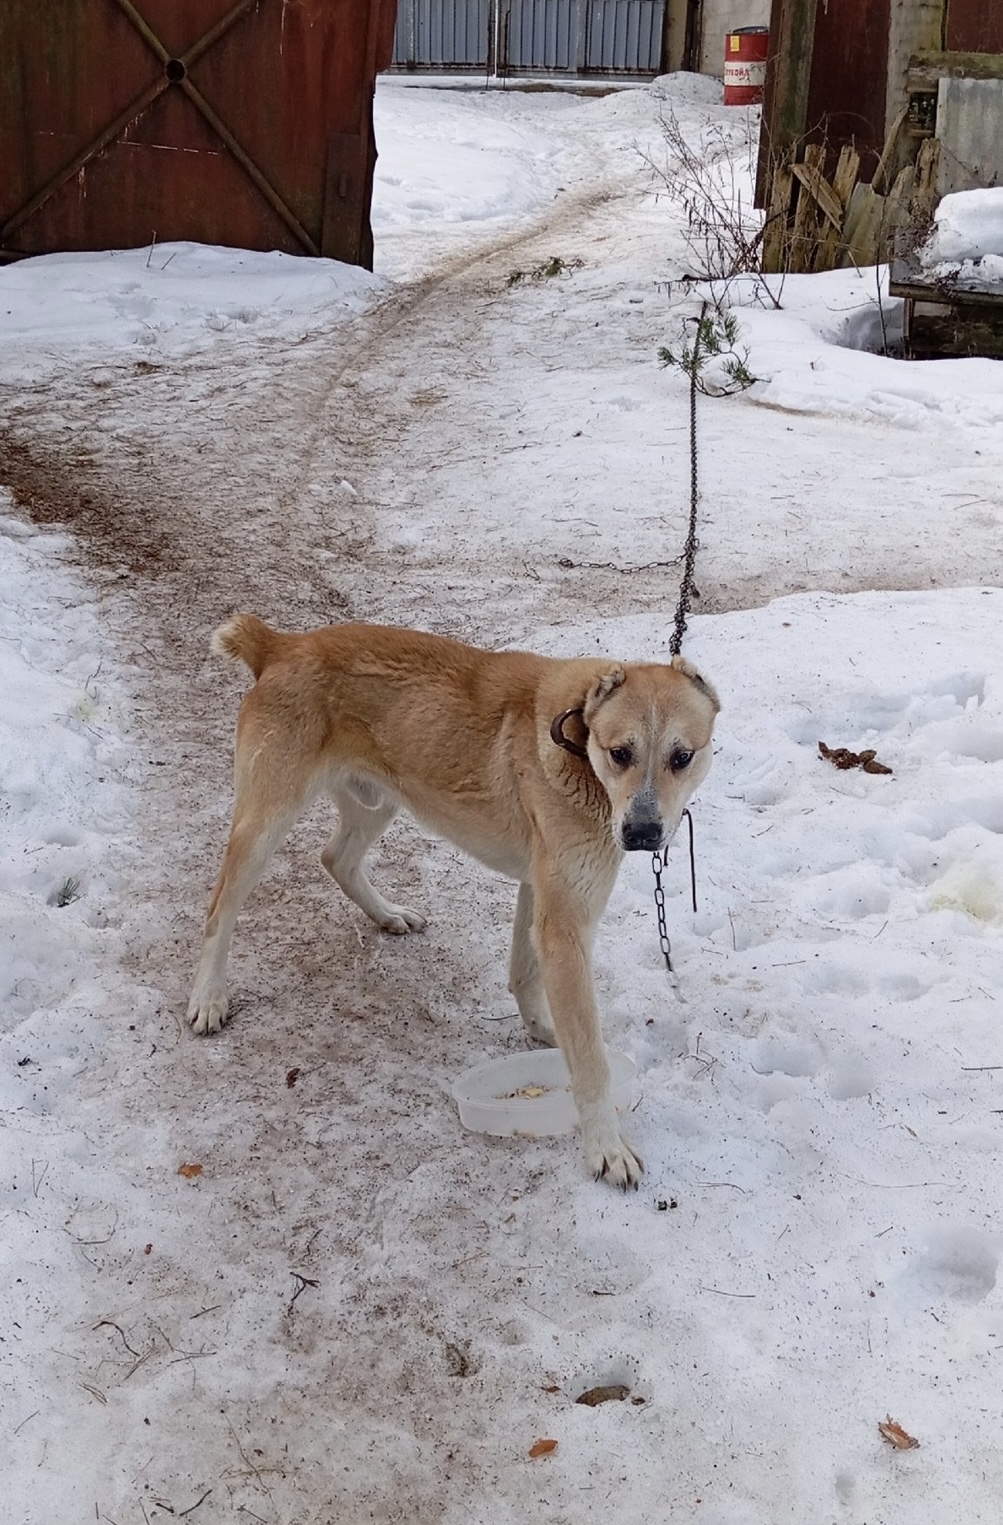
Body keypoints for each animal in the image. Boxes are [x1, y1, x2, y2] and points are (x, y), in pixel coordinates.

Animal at [189, 613, 719, 1183]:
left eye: (681, 757)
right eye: (621, 753)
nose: (642, 833)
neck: (578, 745)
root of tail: (280, 645)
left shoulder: (542, 894)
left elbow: (525, 975)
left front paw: (543, 1031)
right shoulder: (566, 923)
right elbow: (590, 1060)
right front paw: (605, 1144)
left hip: (379, 800)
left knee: (336, 858)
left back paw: (387, 915)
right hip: (265, 824)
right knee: (219, 910)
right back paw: (208, 998)